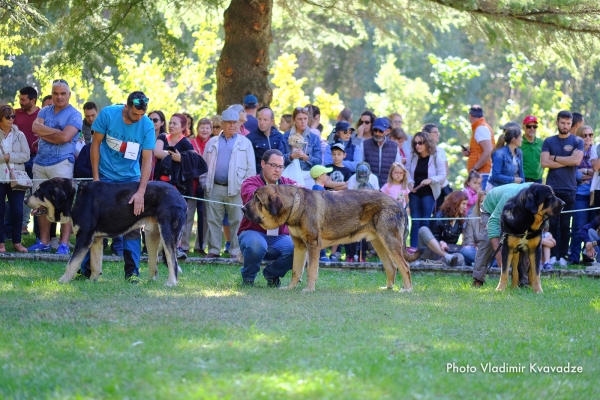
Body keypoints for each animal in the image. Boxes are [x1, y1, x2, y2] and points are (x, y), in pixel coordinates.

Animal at [26, 177, 188, 284]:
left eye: (39, 191)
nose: (25, 200)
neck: (75, 197)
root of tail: (180, 196)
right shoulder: (96, 239)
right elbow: (95, 264)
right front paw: (92, 281)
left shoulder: (84, 238)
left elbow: (72, 263)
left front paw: (63, 281)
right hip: (151, 236)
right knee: (154, 264)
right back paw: (149, 283)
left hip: (167, 233)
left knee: (172, 261)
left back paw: (171, 283)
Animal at [241, 186, 420, 292]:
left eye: (257, 199)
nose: (242, 208)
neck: (295, 204)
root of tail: (400, 205)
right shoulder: (299, 246)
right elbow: (296, 270)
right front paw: (290, 288)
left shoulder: (312, 245)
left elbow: (311, 270)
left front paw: (309, 289)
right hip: (379, 242)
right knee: (392, 267)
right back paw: (388, 288)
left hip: (390, 241)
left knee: (404, 266)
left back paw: (407, 289)